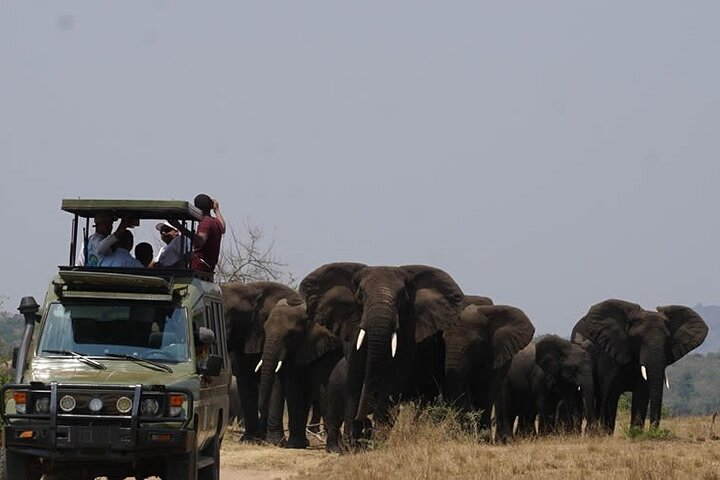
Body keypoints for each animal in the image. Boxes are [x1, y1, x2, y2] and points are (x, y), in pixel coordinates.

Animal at [256, 298, 346, 448]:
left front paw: (294, 445)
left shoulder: (327, 346)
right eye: (264, 329)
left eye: (291, 334)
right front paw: (291, 444)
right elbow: (291, 384)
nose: (259, 414)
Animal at [300, 262, 464, 446]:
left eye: (402, 297)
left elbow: (391, 380)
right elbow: (355, 377)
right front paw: (352, 444)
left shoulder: (408, 334)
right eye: (361, 295)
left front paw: (377, 442)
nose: (364, 423)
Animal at [572, 298, 708, 434]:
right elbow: (610, 391)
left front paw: (636, 433)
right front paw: (605, 434)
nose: (654, 430)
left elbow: (641, 392)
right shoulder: (608, 352)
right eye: (637, 339)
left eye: (668, 340)